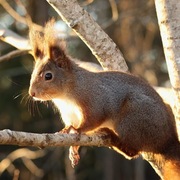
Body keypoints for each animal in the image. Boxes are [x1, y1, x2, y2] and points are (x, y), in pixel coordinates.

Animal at [28, 21, 180, 179]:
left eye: (48, 76)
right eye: (32, 74)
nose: (31, 93)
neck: (65, 97)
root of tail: (169, 141)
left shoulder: (94, 100)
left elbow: (92, 120)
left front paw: (76, 129)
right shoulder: (70, 115)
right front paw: (72, 145)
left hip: (132, 119)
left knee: (132, 152)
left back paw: (111, 136)